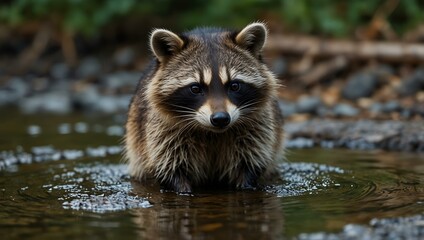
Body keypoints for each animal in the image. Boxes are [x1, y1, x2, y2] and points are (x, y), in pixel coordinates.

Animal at [125, 22, 284, 193]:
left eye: (234, 86)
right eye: (195, 88)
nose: (221, 119)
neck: (212, 133)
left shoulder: (257, 126)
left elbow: (250, 160)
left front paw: (246, 184)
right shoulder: (162, 131)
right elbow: (169, 165)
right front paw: (181, 188)